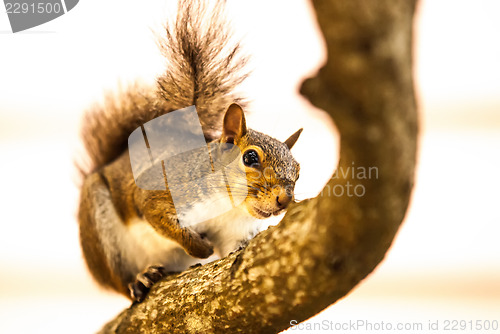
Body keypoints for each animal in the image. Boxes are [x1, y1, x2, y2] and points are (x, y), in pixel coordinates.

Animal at [76, 0, 302, 302]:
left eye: (298, 171)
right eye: (250, 157)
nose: (284, 200)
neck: (228, 206)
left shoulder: (235, 230)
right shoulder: (165, 192)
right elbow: (159, 216)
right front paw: (202, 248)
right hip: (101, 232)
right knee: (119, 279)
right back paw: (138, 280)